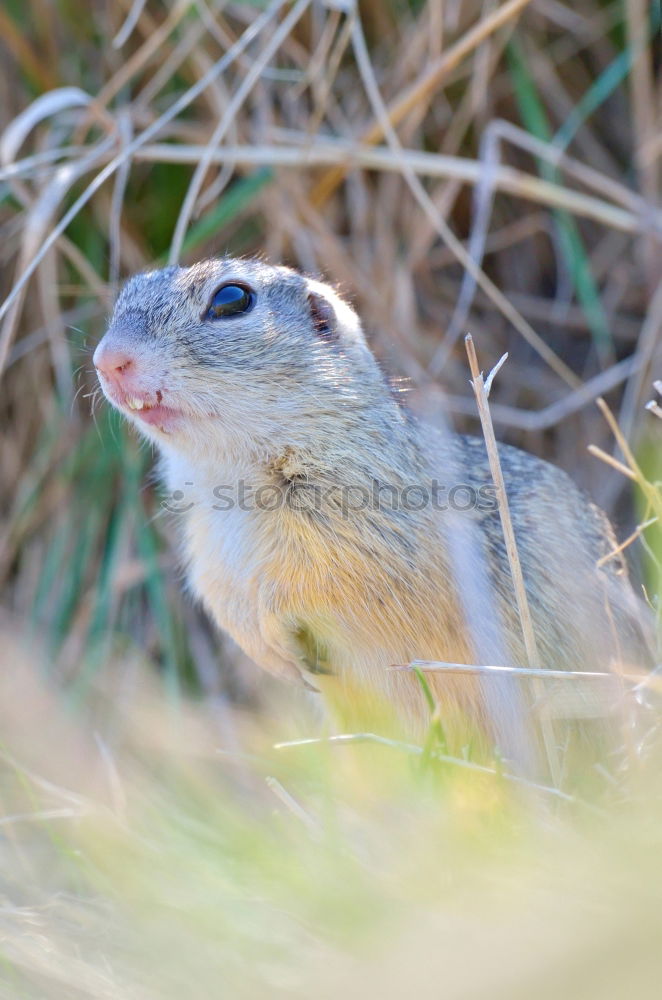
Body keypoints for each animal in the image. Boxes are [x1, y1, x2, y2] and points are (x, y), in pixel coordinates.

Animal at [93, 258, 652, 756]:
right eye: (129, 290)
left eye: (232, 300)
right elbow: (226, 603)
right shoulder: (210, 554)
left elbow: (318, 586)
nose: (108, 360)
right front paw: (271, 655)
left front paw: (280, 637)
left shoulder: (366, 540)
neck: (232, 478)